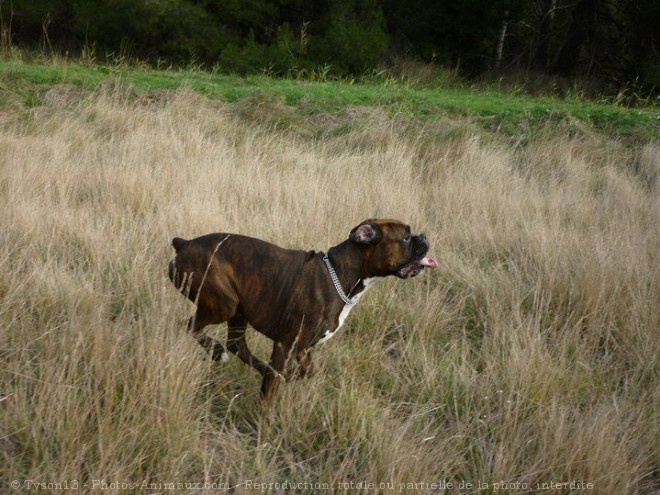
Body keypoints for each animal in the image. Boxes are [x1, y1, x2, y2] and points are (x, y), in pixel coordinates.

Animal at [170, 219, 438, 404]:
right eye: (406, 237)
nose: (424, 235)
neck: (339, 274)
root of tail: (184, 243)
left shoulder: (303, 347)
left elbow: (306, 371)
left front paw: (287, 377)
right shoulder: (285, 345)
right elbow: (270, 392)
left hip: (238, 311)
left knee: (237, 345)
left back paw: (260, 368)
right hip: (224, 304)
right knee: (191, 327)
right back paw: (217, 353)